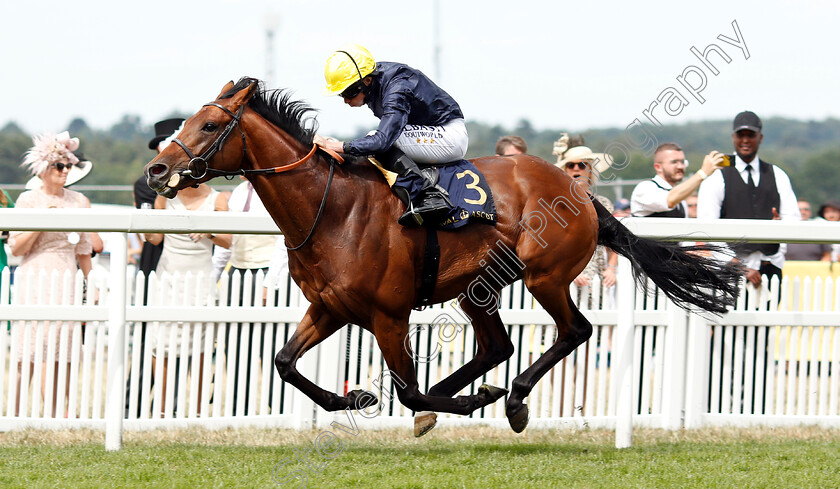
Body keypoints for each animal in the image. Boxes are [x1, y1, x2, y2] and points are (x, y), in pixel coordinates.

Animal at [146, 77, 740, 434]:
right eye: (187, 121)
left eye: (208, 125)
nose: (156, 170)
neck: (332, 208)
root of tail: (579, 191)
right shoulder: (330, 308)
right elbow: (285, 363)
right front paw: (357, 400)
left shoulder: (388, 314)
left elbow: (407, 392)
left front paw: (457, 404)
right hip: (481, 287)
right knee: (497, 346)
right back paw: (470, 390)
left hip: (545, 276)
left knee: (574, 331)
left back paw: (513, 400)